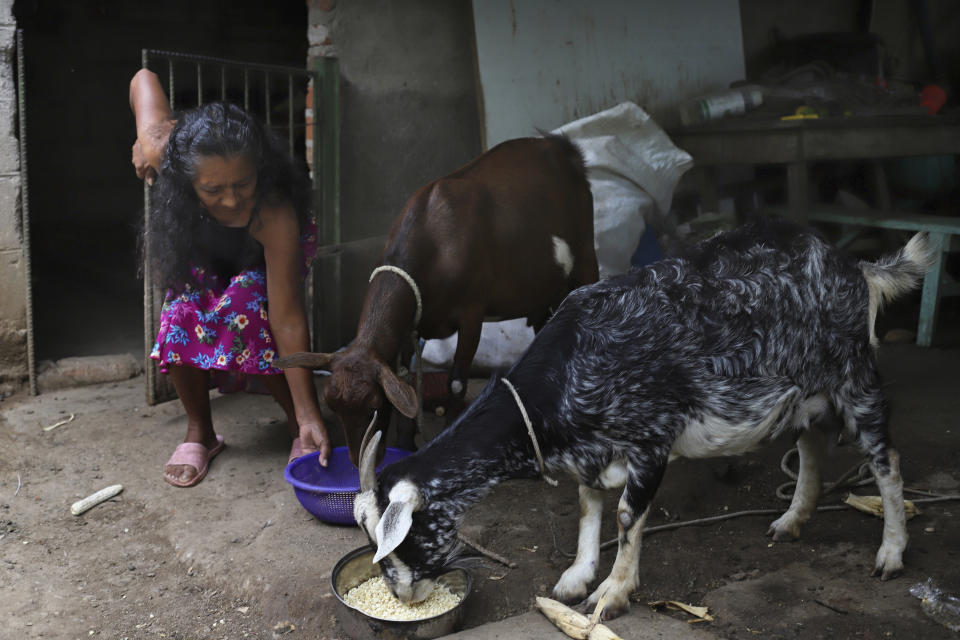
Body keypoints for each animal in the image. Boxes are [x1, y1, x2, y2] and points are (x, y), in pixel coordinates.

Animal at [274, 135, 596, 464]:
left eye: (374, 405)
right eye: (333, 406)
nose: (357, 460)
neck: (436, 241)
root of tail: (561, 145)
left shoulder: (472, 313)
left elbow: (456, 382)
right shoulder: (410, 323)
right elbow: (404, 378)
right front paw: (405, 443)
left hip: (585, 254)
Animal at [348, 220, 932, 620]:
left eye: (398, 538)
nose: (402, 595)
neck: (569, 371)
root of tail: (857, 268)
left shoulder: (650, 439)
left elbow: (628, 517)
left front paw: (612, 594)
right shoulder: (589, 450)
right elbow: (587, 508)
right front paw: (576, 578)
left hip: (854, 377)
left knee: (886, 458)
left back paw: (890, 552)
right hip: (803, 393)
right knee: (812, 443)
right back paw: (791, 520)